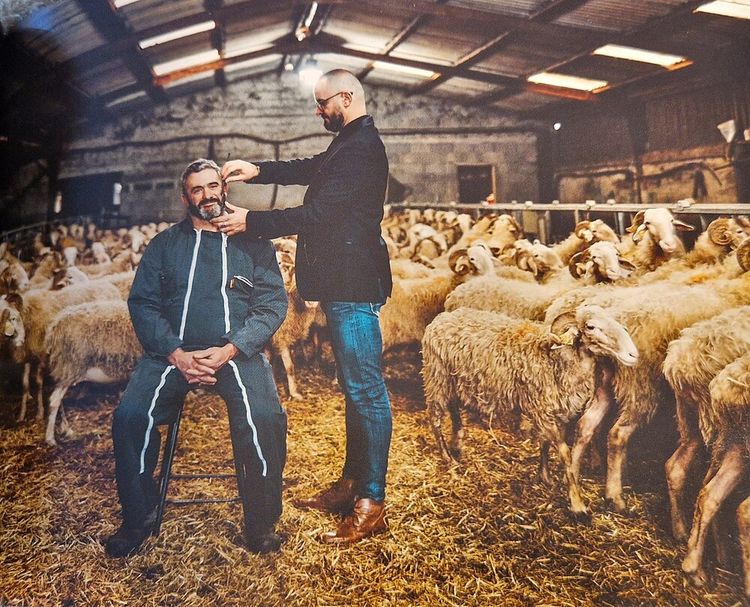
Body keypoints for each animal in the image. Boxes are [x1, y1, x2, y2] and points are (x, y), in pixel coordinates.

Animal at [44, 300, 144, 446]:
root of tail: (55, 325)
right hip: (69, 367)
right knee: (54, 401)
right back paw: (50, 438)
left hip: (65, 370)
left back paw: (65, 430)